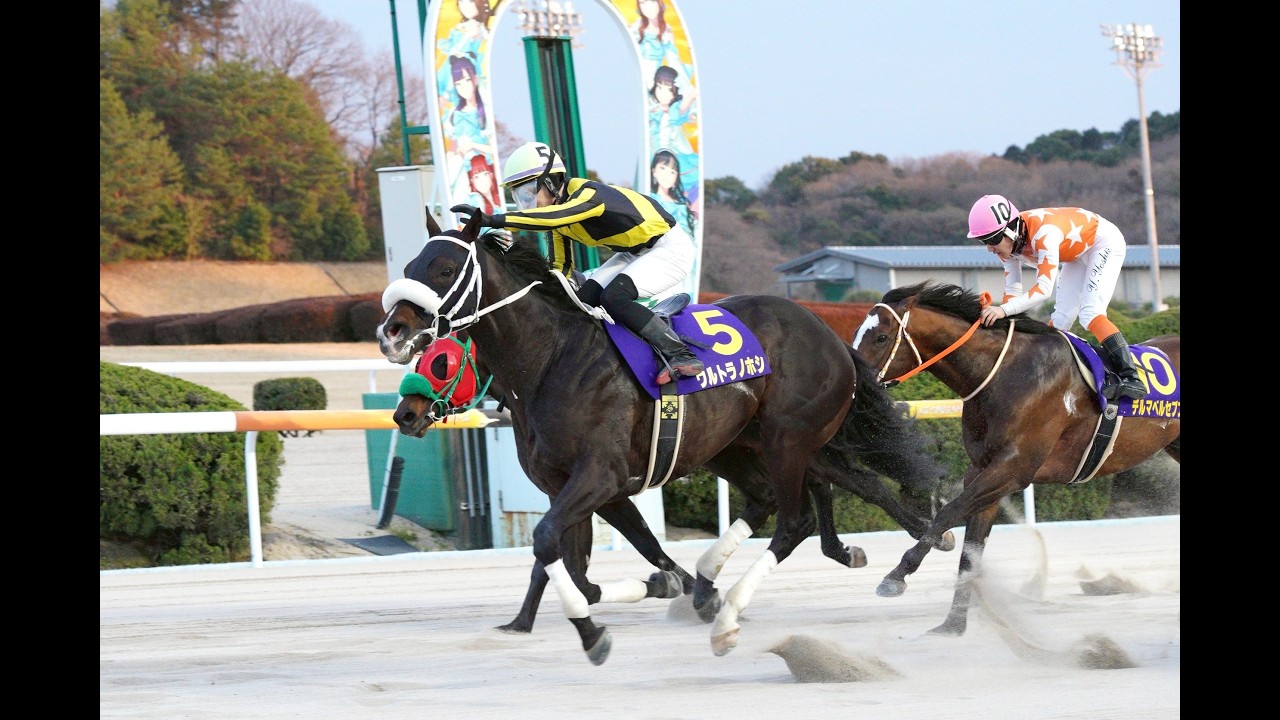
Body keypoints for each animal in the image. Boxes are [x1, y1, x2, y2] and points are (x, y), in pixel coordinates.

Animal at [376, 211, 949, 663]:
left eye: (443, 269)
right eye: (409, 269)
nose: (393, 334)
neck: (550, 360)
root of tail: (829, 334)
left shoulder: (602, 476)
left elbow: (559, 546)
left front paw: (603, 627)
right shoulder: (570, 485)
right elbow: (571, 562)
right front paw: (530, 622)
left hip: (788, 440)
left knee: (797, 519)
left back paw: (729, 614)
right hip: (740, 445)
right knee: (795, 494)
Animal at [851, 281, 1181, 636]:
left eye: (881, 336)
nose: (855, 383)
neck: (1002, 374)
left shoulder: (1013, 469)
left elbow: (947, 514)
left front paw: (896, 576)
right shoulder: (984, 471)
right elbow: (971, 552)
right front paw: (953, 625)